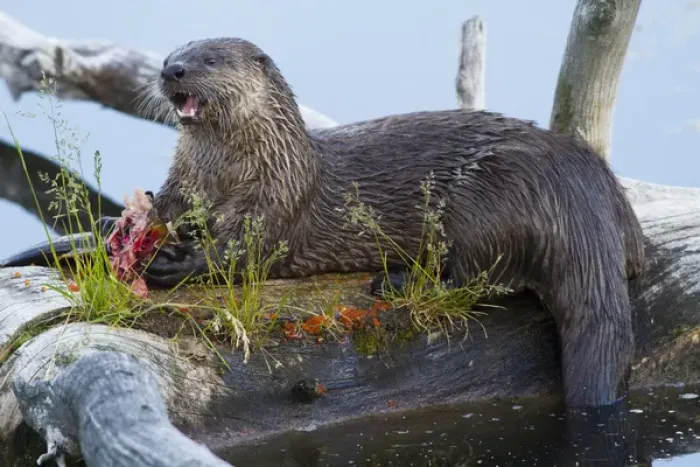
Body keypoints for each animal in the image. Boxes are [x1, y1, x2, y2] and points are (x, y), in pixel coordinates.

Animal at [139, 37, 646, 409]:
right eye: (167, 57)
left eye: (209, 59)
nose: (172, 71)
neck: (232, 171)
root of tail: (582, 202)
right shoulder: (183, 187)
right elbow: (164, 210)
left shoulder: (274, 201)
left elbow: (240, 252)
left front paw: (172, 263)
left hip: (487, 204)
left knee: (477, 281)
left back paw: (396, 282)